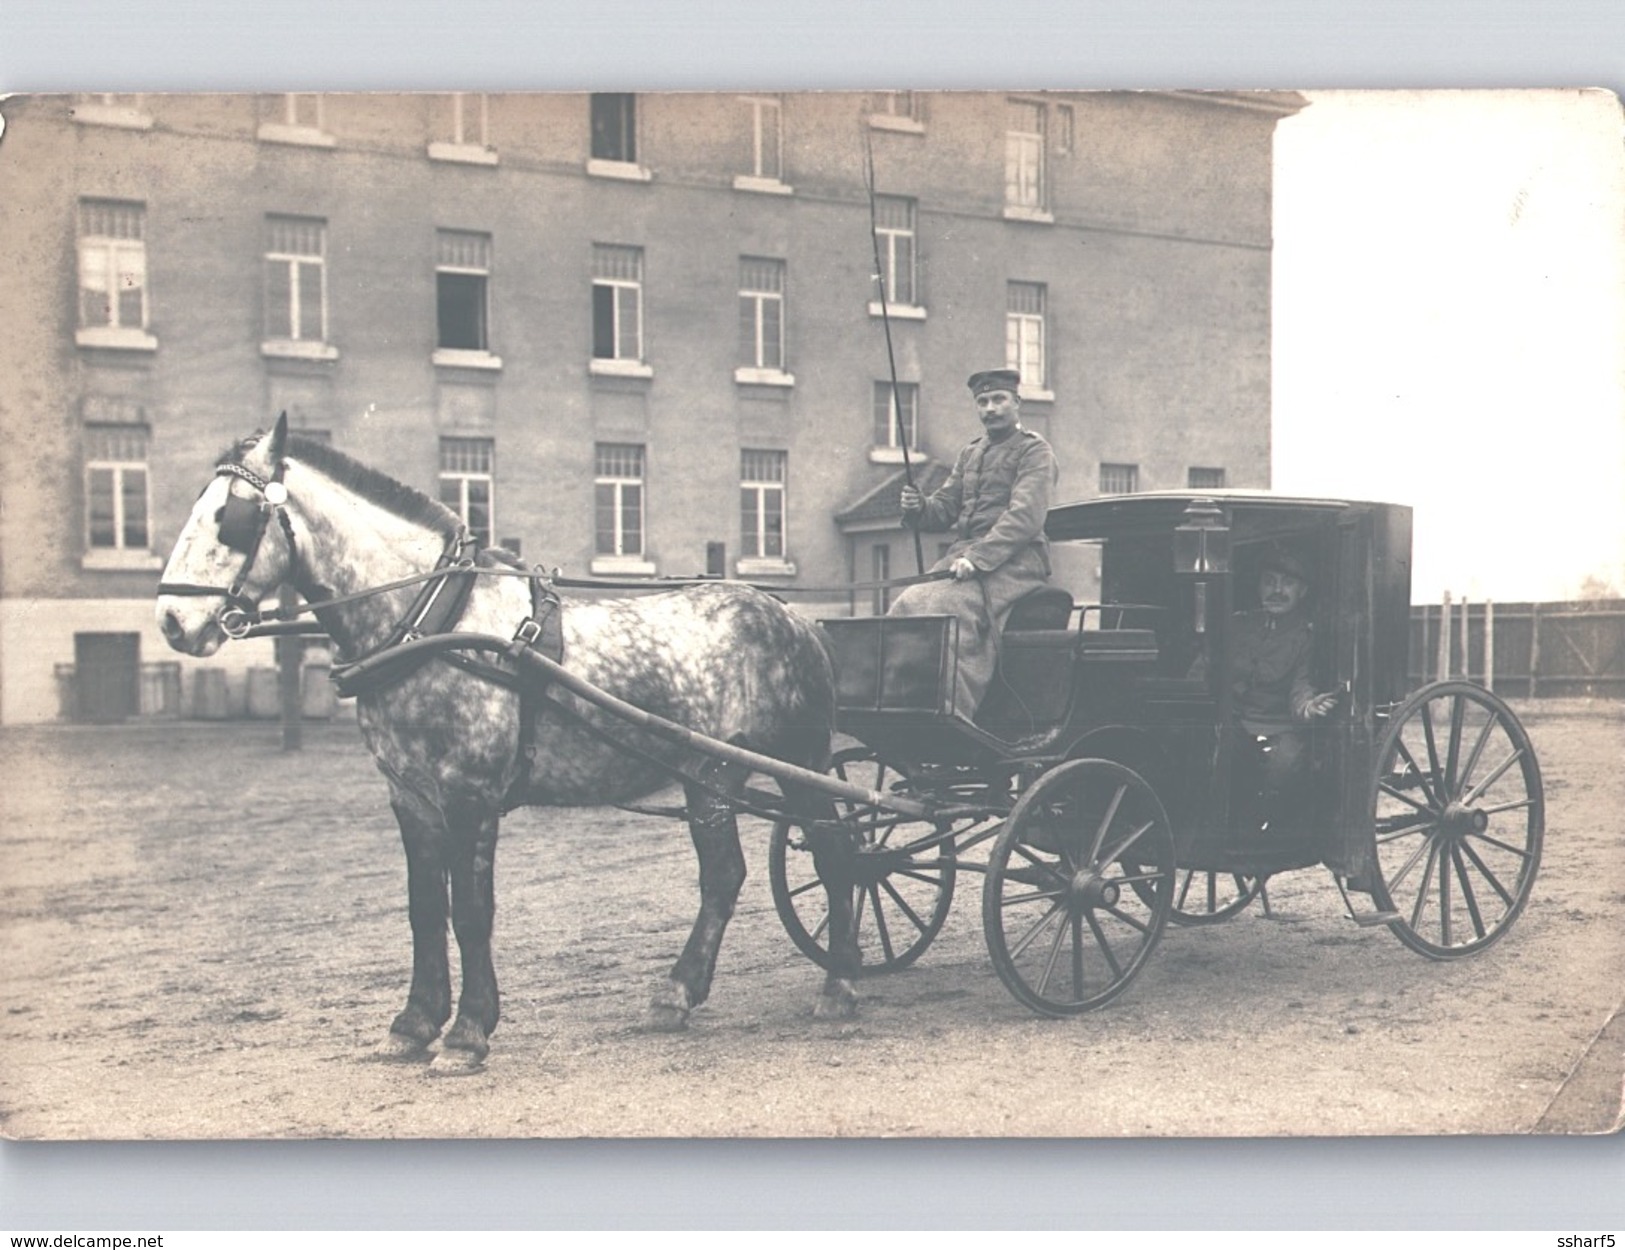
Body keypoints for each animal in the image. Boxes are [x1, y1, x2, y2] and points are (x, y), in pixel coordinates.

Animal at [156, 414, 858, 1066]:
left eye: (231, 518)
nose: (171, 621)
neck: (433, 619)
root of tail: (795, 617)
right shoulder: (410, 797)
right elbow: (423, 908)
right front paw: (414, 1022)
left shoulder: (470, 795)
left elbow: (470, 910)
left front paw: (468, 1032)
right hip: (710, 775)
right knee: (724, 876)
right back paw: (678, 994)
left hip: (796, 765)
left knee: (836, 853)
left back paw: (840, 984)